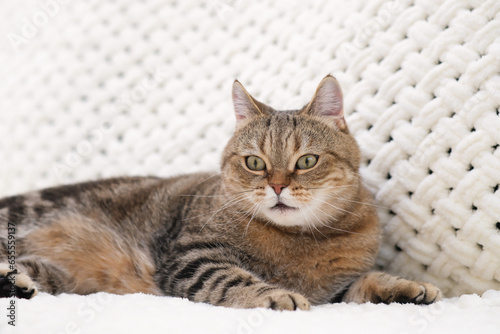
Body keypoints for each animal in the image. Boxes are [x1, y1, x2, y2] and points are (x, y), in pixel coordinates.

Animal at [0, 75, 442, 310]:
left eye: (306, 161)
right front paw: (277, 296)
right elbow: (233, 280)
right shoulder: (191, 256)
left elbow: (363, 285)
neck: (302, 241)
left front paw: (404, 287)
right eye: (255, 163)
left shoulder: (334, 292)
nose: (277, 185)